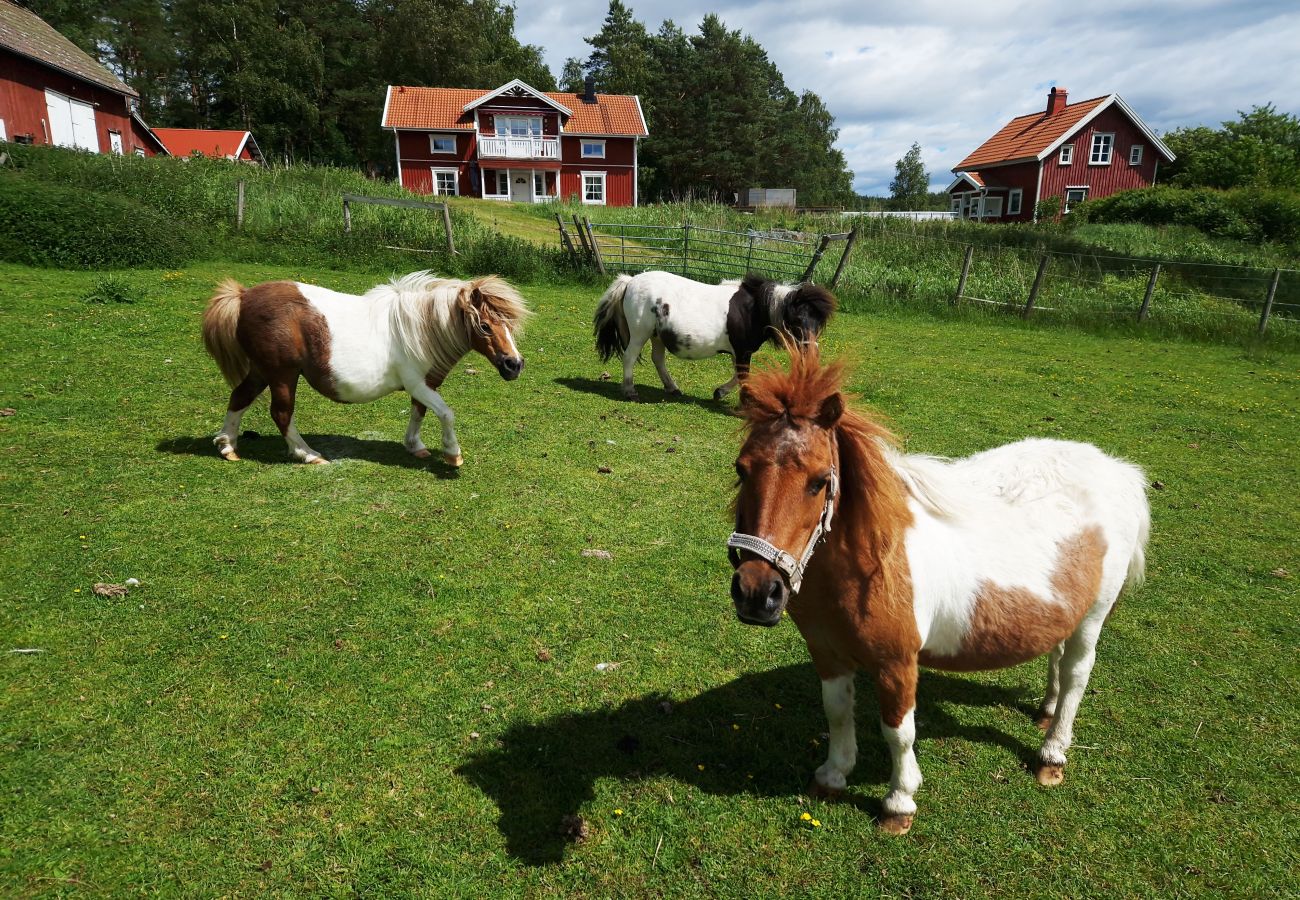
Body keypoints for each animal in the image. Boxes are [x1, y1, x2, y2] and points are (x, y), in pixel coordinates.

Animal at [202, 269, 527, 468]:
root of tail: (243, 296)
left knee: (239, 398)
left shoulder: (425, 385)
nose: (514, 365)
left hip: (262, 372)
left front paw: (415, 446)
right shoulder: (418, 383)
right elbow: (446, 413)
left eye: (509, 324)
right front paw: (452, 454)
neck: (420, 327)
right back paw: (308, 454)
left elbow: (419, 413)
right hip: (282, 375)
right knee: (281, 414)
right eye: (484, 326)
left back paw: (227, 446)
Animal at [592, 270, 832, 400]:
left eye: (818, 324)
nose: (812, 352)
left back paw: (672, 388)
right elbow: (744, 376)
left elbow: (738, 375)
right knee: (629, 357)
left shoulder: (738, 352)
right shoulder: (742, 351)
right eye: (797, 320)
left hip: (657, 335)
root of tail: (630, 281)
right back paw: (629, 390)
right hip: (640, 334)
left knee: (658, 359)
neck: (752, 310)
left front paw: (720, 393)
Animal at [733, 351, 1149, 837]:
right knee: (1059, 660)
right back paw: (1046, 709)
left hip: (1093, 617)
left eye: (818, 481)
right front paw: (833, 775)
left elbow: (898, 732)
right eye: (742, 469)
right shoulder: (827, 652)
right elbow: (836, 710)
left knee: (1077, 676)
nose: (756, 592)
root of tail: (1118, 471)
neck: (873, 558)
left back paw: (1052, 753)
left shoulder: (897, 664)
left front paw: (899, 802)